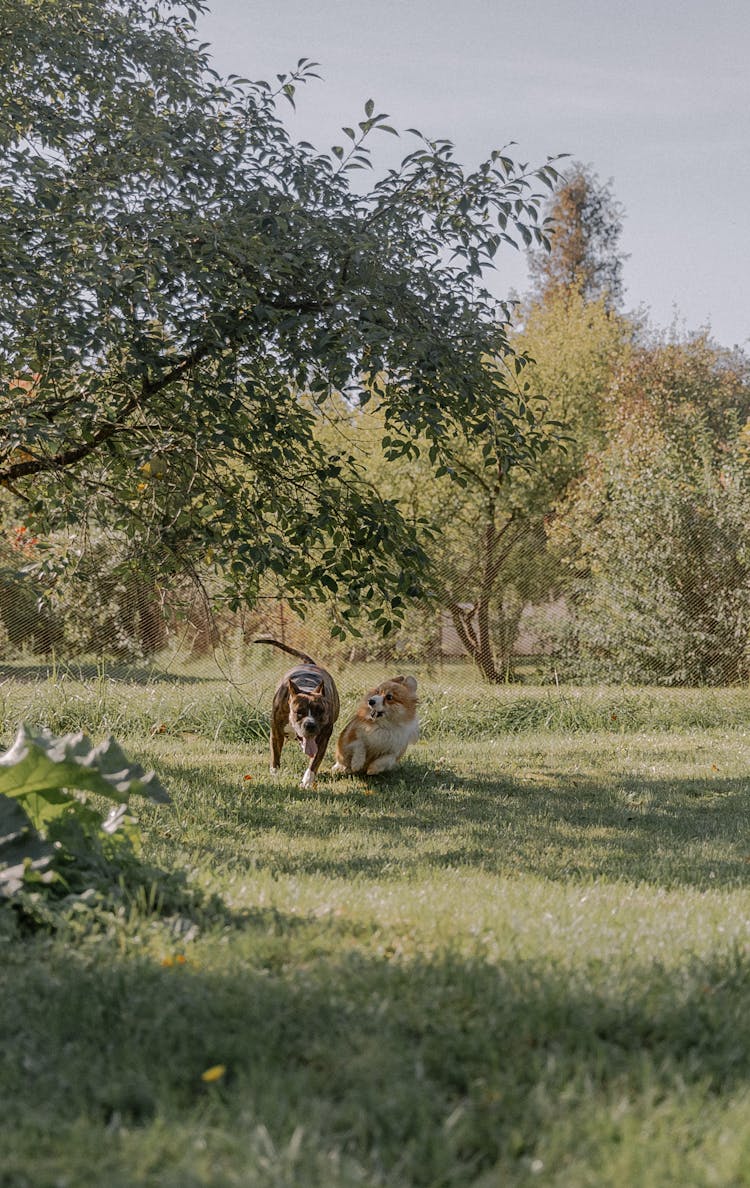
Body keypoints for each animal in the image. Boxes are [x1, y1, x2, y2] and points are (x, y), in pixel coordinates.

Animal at [255, 641, 342, 788]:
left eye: (320, 711)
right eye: (299, 712)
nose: (310, 725)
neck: (307, 687)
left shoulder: (323, 738)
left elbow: (315, 761)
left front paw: (307, 780)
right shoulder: (276, 732)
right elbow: (275, 755)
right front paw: (275, 773)